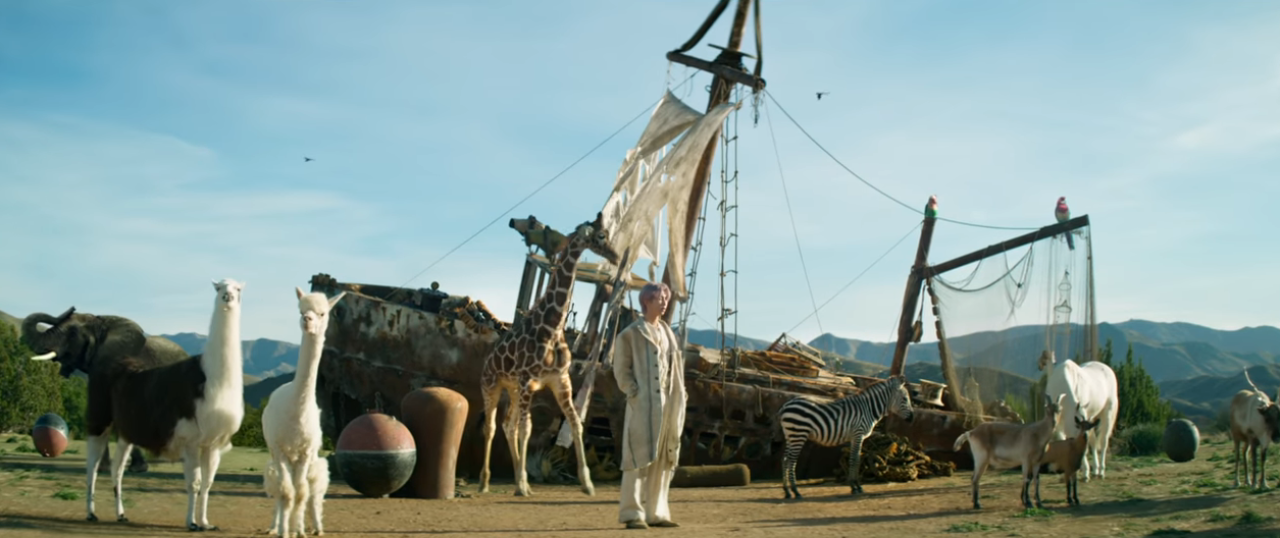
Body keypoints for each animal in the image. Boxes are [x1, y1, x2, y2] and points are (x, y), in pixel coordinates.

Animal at [479, 212, 619, 497]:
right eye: (601, 236)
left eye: (609, 234)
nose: (617, 256)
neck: (552, 326)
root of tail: (487, 362)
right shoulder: (527, 380)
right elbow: (527, 429)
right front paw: (522, 483)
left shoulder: (560, 380)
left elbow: (575, 423)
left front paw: (587, 484)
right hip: (492, 387)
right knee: (491, 427)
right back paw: (486, 482)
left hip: (512, 391)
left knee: (509, 426)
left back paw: (519, 482)